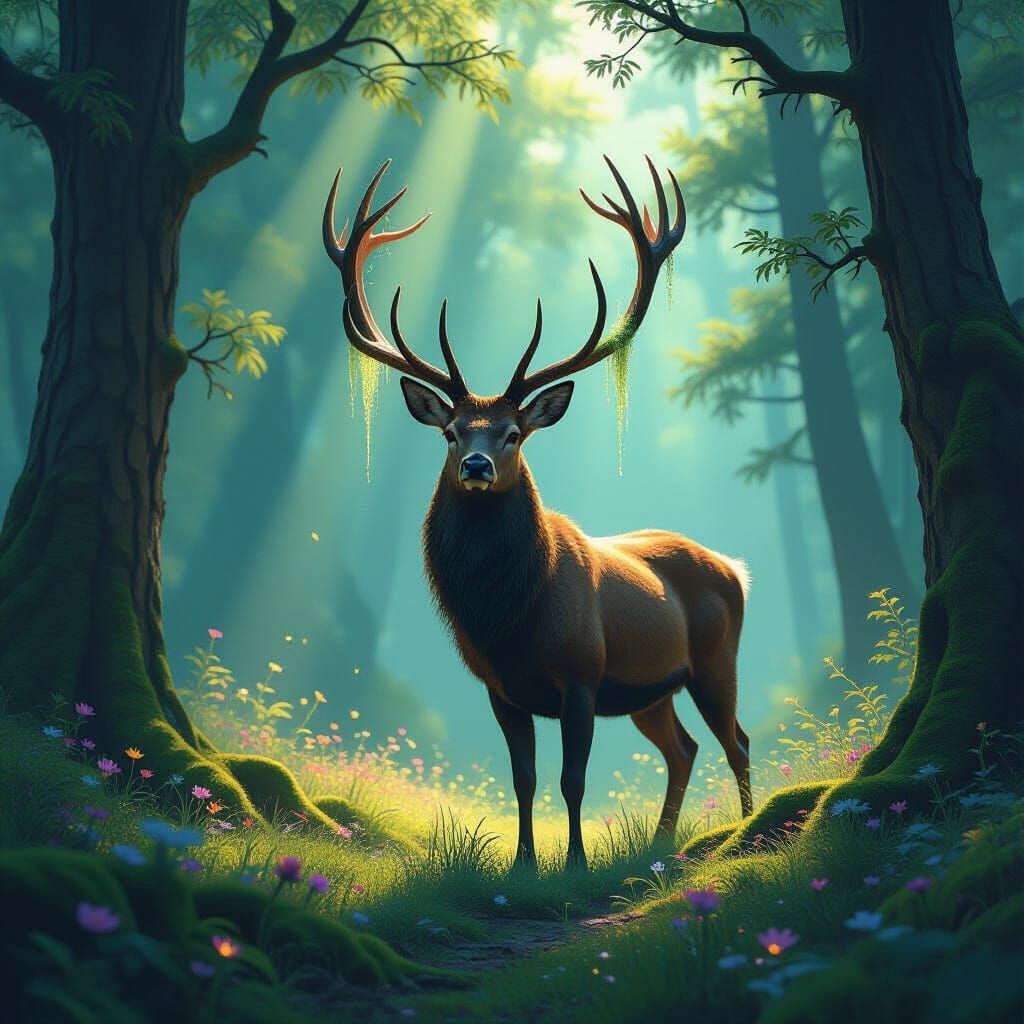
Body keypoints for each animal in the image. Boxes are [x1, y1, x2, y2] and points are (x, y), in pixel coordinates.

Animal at [322, 158, 752, 870]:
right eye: (452, 433)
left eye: (513, 434)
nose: (475, 467)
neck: (510, 619)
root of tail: (735, 568)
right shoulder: (500, 687)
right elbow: (522, 778)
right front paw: (523, 863)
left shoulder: (582, 674)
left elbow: (571, 779)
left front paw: (574, 863)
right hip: (652, 690)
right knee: (684, 748)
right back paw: (658, 844)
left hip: (717, 660)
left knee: (735, 741)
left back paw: (745, 830)